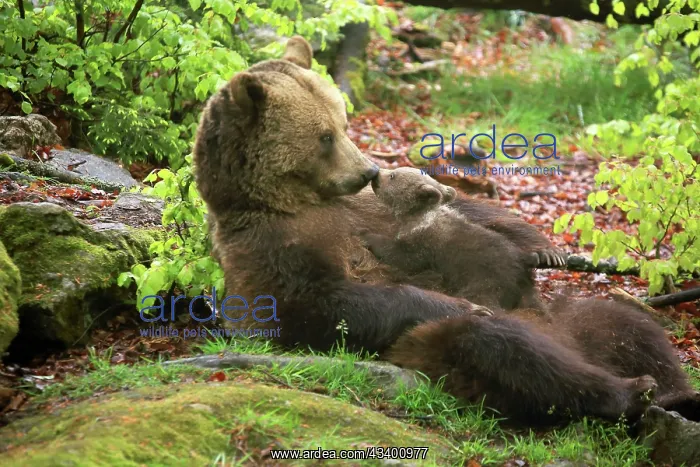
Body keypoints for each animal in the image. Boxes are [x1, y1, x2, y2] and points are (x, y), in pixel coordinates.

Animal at [359, 167, 542, 311]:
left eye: (393, 175)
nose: (375, 174)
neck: (416, 217)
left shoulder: (425, 242)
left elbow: (403, 257)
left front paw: (367, 234)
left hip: (488, 280)